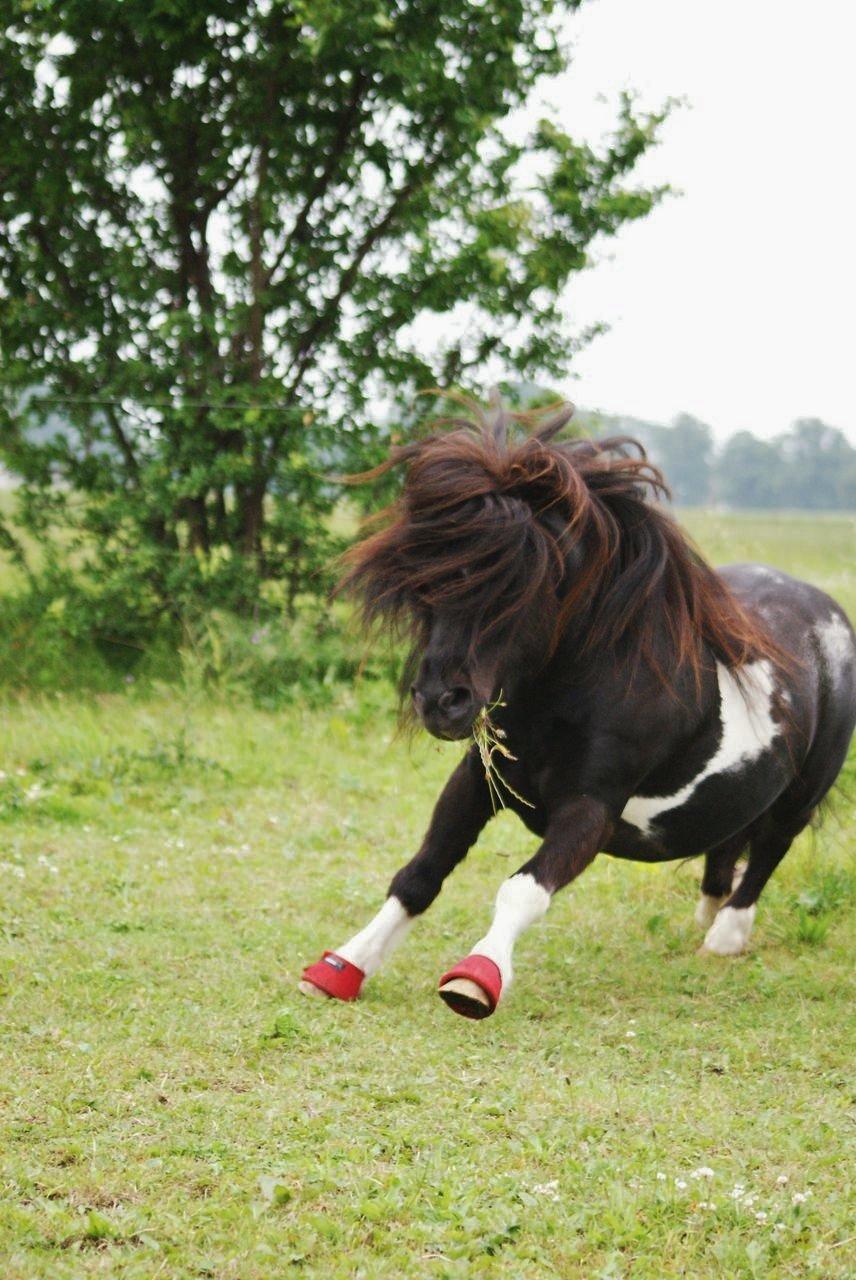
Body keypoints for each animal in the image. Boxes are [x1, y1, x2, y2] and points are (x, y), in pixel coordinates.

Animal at [300, 389, 854, 1018]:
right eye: (427, 576)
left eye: (522, 581)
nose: (441, 702)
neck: (574, 693)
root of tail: (826, 610)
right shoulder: (478, 781)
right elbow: (420, 873)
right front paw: (342, 967)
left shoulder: (591, 808)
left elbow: (522, 891)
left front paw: (475, 979)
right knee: (729, 847)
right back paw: (708, 917)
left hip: (803, 794)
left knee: (769, 850)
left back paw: (726, 936)